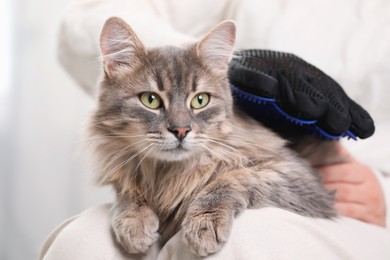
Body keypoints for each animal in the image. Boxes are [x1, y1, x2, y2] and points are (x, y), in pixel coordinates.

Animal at [87, 17, 336, 256]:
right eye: (150, 100)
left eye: (200, 100)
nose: (181, 131)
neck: (170, 174)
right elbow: (127, 192)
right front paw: (134, 223)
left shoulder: (298, 176)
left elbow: (233, 179)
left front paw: (204, 222)